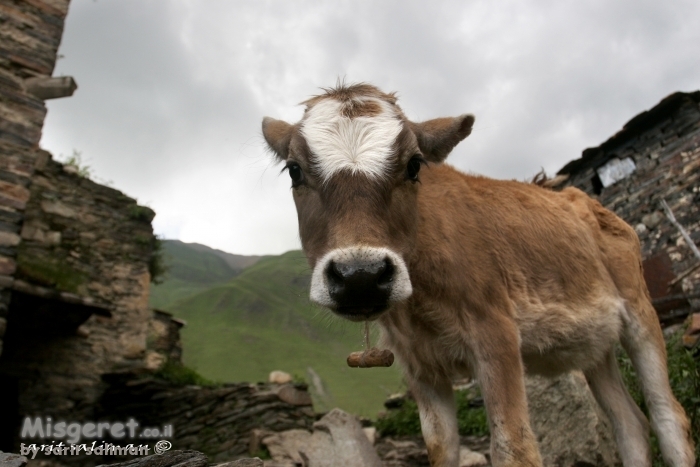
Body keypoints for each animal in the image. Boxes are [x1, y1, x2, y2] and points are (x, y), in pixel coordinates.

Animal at [262, 82, 696, 466]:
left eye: (414, 164)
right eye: (294, 171)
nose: (360, 276)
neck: (421, 309)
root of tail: (585, 200)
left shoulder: (496, 334)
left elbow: (514, 448)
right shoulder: (419, 366)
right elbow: (441, 450)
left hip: (640, 311)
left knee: (667, 416)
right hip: (594, 344)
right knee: (630, 423)